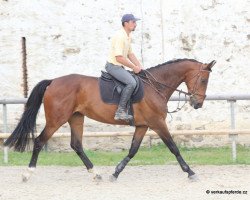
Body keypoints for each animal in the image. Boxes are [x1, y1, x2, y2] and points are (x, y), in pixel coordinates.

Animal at [3, 57, 216, 181]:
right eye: (203, 79)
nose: (198, 104)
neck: (155, 87)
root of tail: (53, 81)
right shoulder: (157, 123)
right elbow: (173, 147)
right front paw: (190, 172)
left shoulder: (142, 125)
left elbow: (133, 150)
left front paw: (116, 172)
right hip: (57, 119)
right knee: (39, 141)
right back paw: (27, 173)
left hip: (76, 118)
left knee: (76, 145)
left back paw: (96, 173)